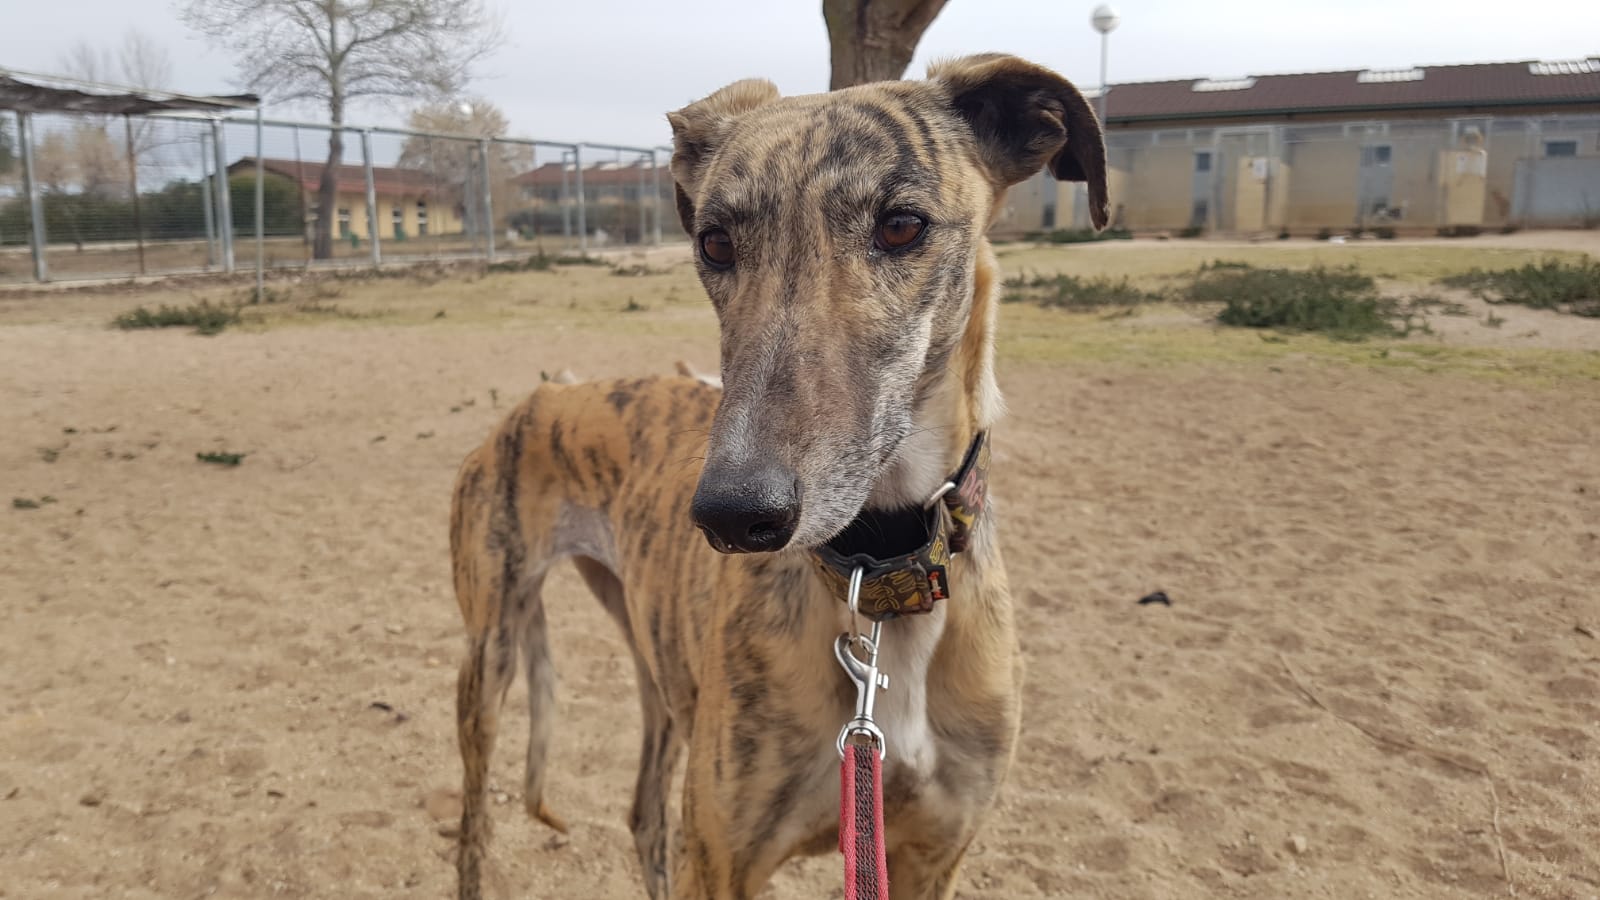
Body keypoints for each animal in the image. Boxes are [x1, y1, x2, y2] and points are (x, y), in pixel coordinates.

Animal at [449, 53, 1107, 899]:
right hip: (491, 655)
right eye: (714, 241)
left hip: (659, 673)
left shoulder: (930, 856)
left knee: (644, 812)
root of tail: (546, 394)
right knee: (476, 830)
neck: (879, 578)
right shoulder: (726, 858)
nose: (734, 516)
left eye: (902, 225)